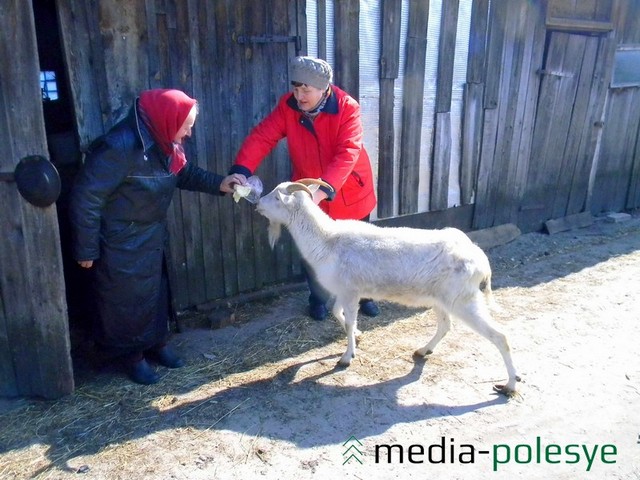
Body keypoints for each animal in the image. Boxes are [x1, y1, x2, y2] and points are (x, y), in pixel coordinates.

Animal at [255, 178, 520, 396]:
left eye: (277, 197)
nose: (257, 204)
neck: (328, 241)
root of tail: (480, 260)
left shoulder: (350, 291)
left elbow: (348, 321)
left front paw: (346, 357)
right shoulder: (345, 291)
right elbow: (337, 313)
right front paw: (358, 336)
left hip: (463, 300)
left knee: (501, 336)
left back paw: (509, 385)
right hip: (440, 299)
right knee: (445, 326)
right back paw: (423, 351)